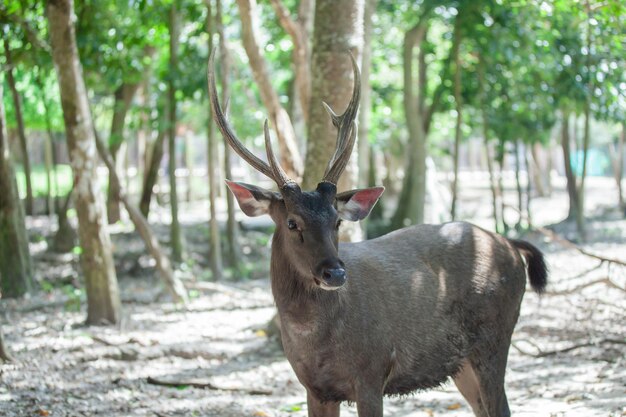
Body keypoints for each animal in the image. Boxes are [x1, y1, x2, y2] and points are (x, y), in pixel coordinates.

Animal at [207, 49, 544, 416]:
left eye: (336, 220)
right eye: (292, 222)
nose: (335, 272)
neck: (313, 341)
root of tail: (511, 245)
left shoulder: (372, 371)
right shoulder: (314, 387)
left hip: (494, 337)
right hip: (462, 363)